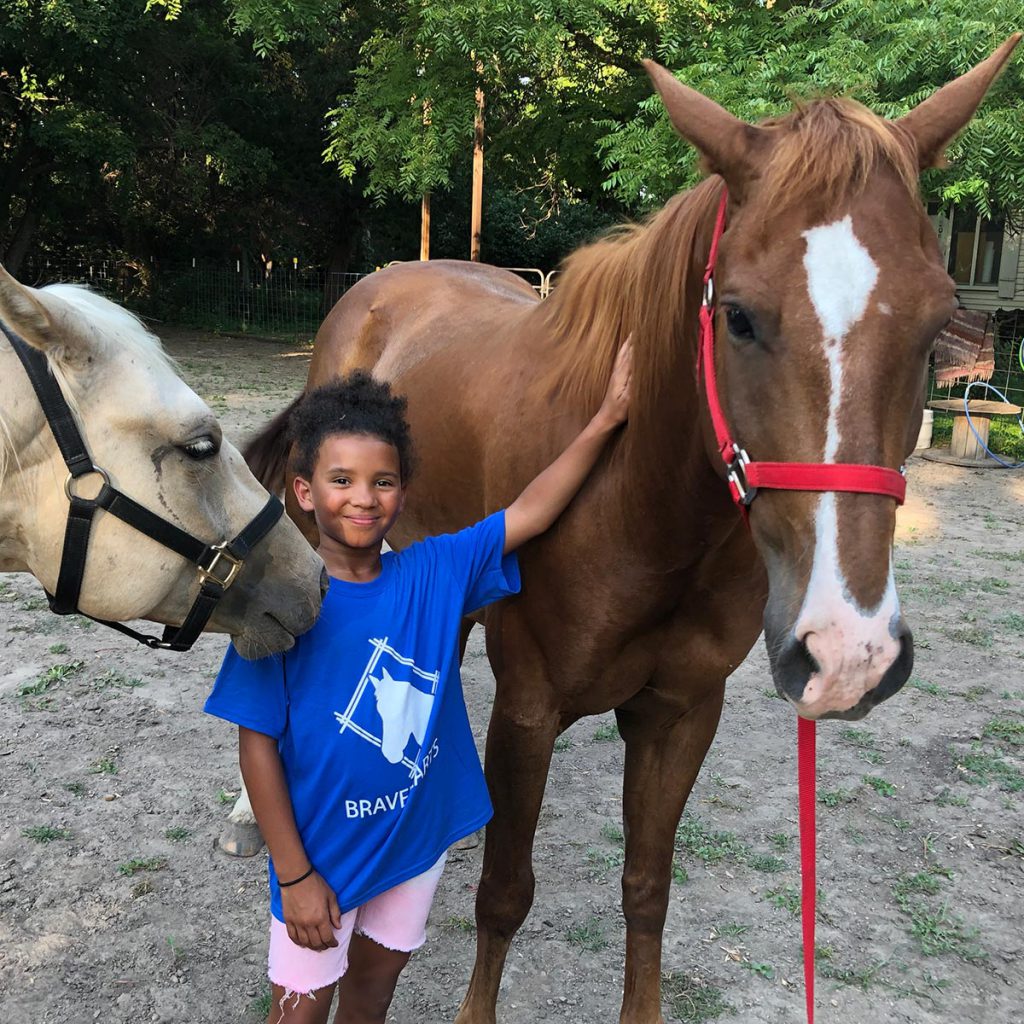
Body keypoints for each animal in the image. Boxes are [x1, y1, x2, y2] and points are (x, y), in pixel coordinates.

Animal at [245, 37, 1015, 1024]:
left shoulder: (680, 714)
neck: (641, 508)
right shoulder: (531, 709)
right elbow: (506, 894)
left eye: (935, 321)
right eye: (738, 316)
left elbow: (647, 889)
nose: (851, 653)